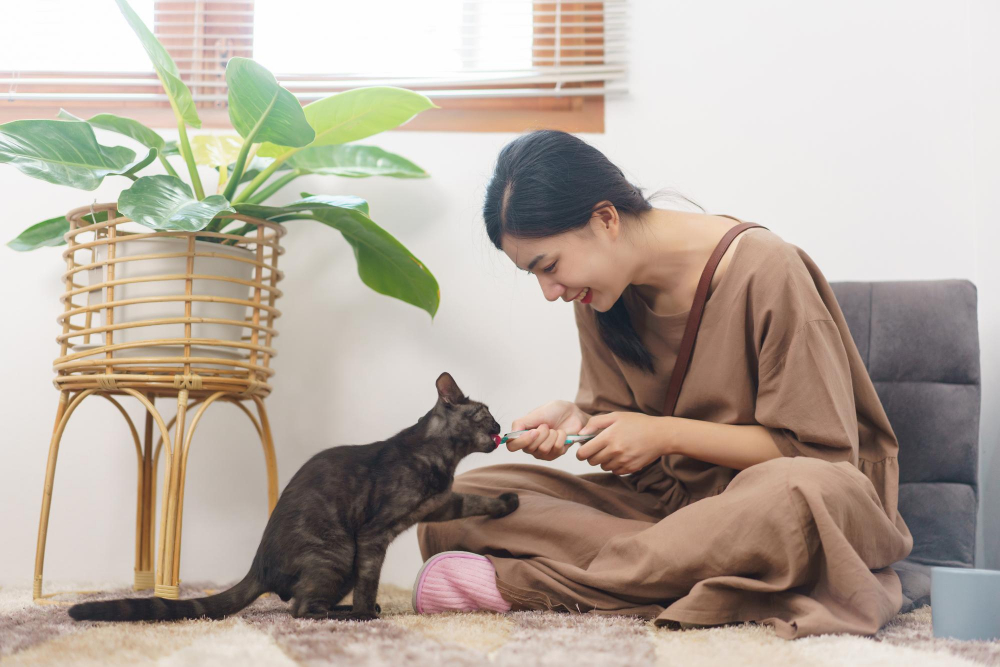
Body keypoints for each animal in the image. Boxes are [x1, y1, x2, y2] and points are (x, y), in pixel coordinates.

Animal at [67, 374, 520, 624]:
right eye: (483, 412)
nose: (501, 426)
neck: (442, 459)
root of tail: (258, 566)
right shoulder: (374, 536)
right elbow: (371, 580)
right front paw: (363, 611)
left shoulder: (441, 504)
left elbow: (473, 501)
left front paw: (507, 503)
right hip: (338, 554)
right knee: (301, 609)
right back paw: (351, 617)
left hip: (340, 564)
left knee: (305, 603)